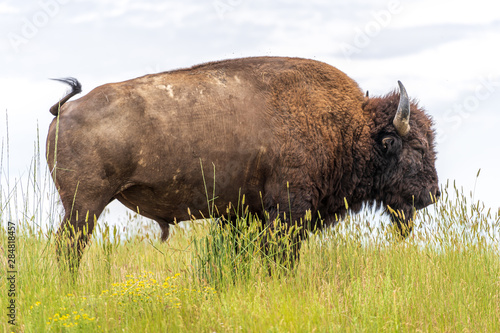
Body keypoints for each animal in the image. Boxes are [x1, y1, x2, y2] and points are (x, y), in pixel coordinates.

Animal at [46, 56, 438, 270]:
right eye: (415, 147)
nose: (432, 194)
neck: (345, 126)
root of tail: (65, 110)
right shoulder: (288, 209)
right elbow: (281, 256)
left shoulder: (244, 212)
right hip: (85, 204)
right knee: (69, 247)